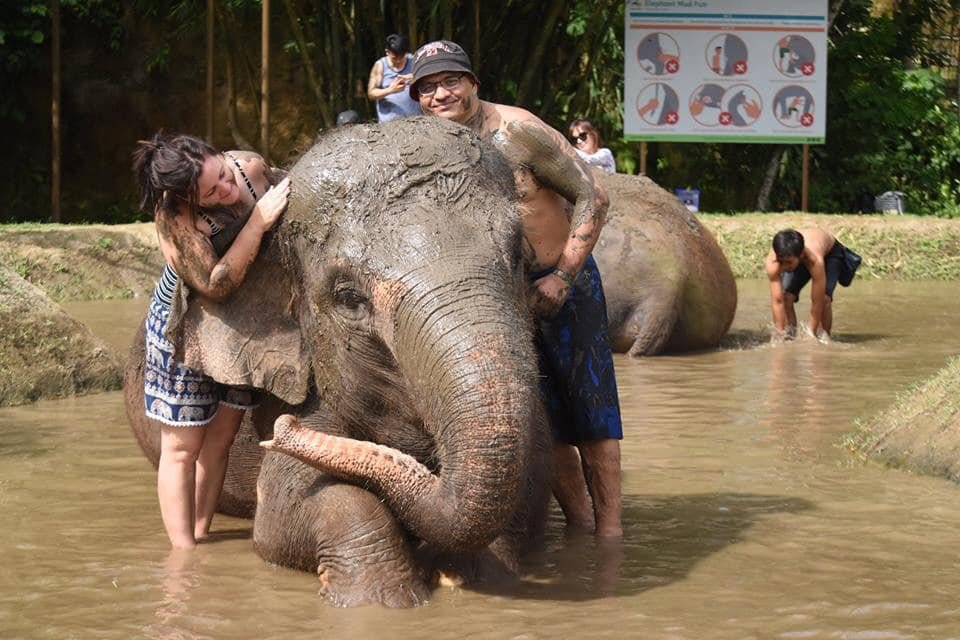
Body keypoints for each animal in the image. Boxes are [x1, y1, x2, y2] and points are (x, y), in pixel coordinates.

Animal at [125, 116, 553, 607]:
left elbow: (532, 482)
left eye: (519, 255)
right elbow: (283, 506)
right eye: (349, 298)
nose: (283, 432)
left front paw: (463, 576)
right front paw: (378, 602)